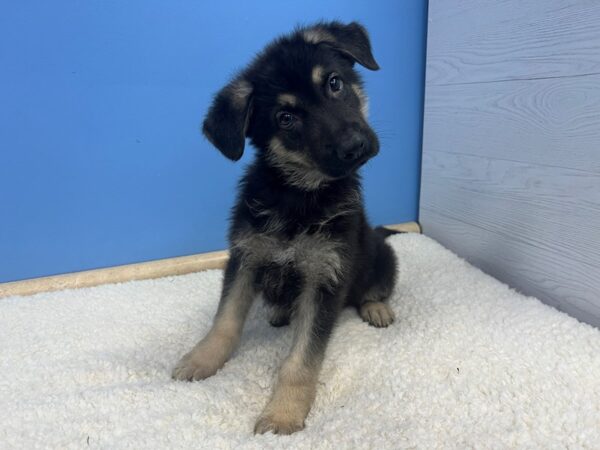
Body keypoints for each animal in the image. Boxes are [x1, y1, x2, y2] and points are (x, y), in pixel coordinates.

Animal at [172, 22, 398, 436]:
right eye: (286, 118)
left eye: (335, 83)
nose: (355, 146)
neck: (297, 195)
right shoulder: (245, 257)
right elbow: (225, 321)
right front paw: (201, 359)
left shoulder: (325, 276)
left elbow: (301, 361)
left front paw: (283, 413)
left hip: (382, 256)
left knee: (375, 288)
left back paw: (377, 308)